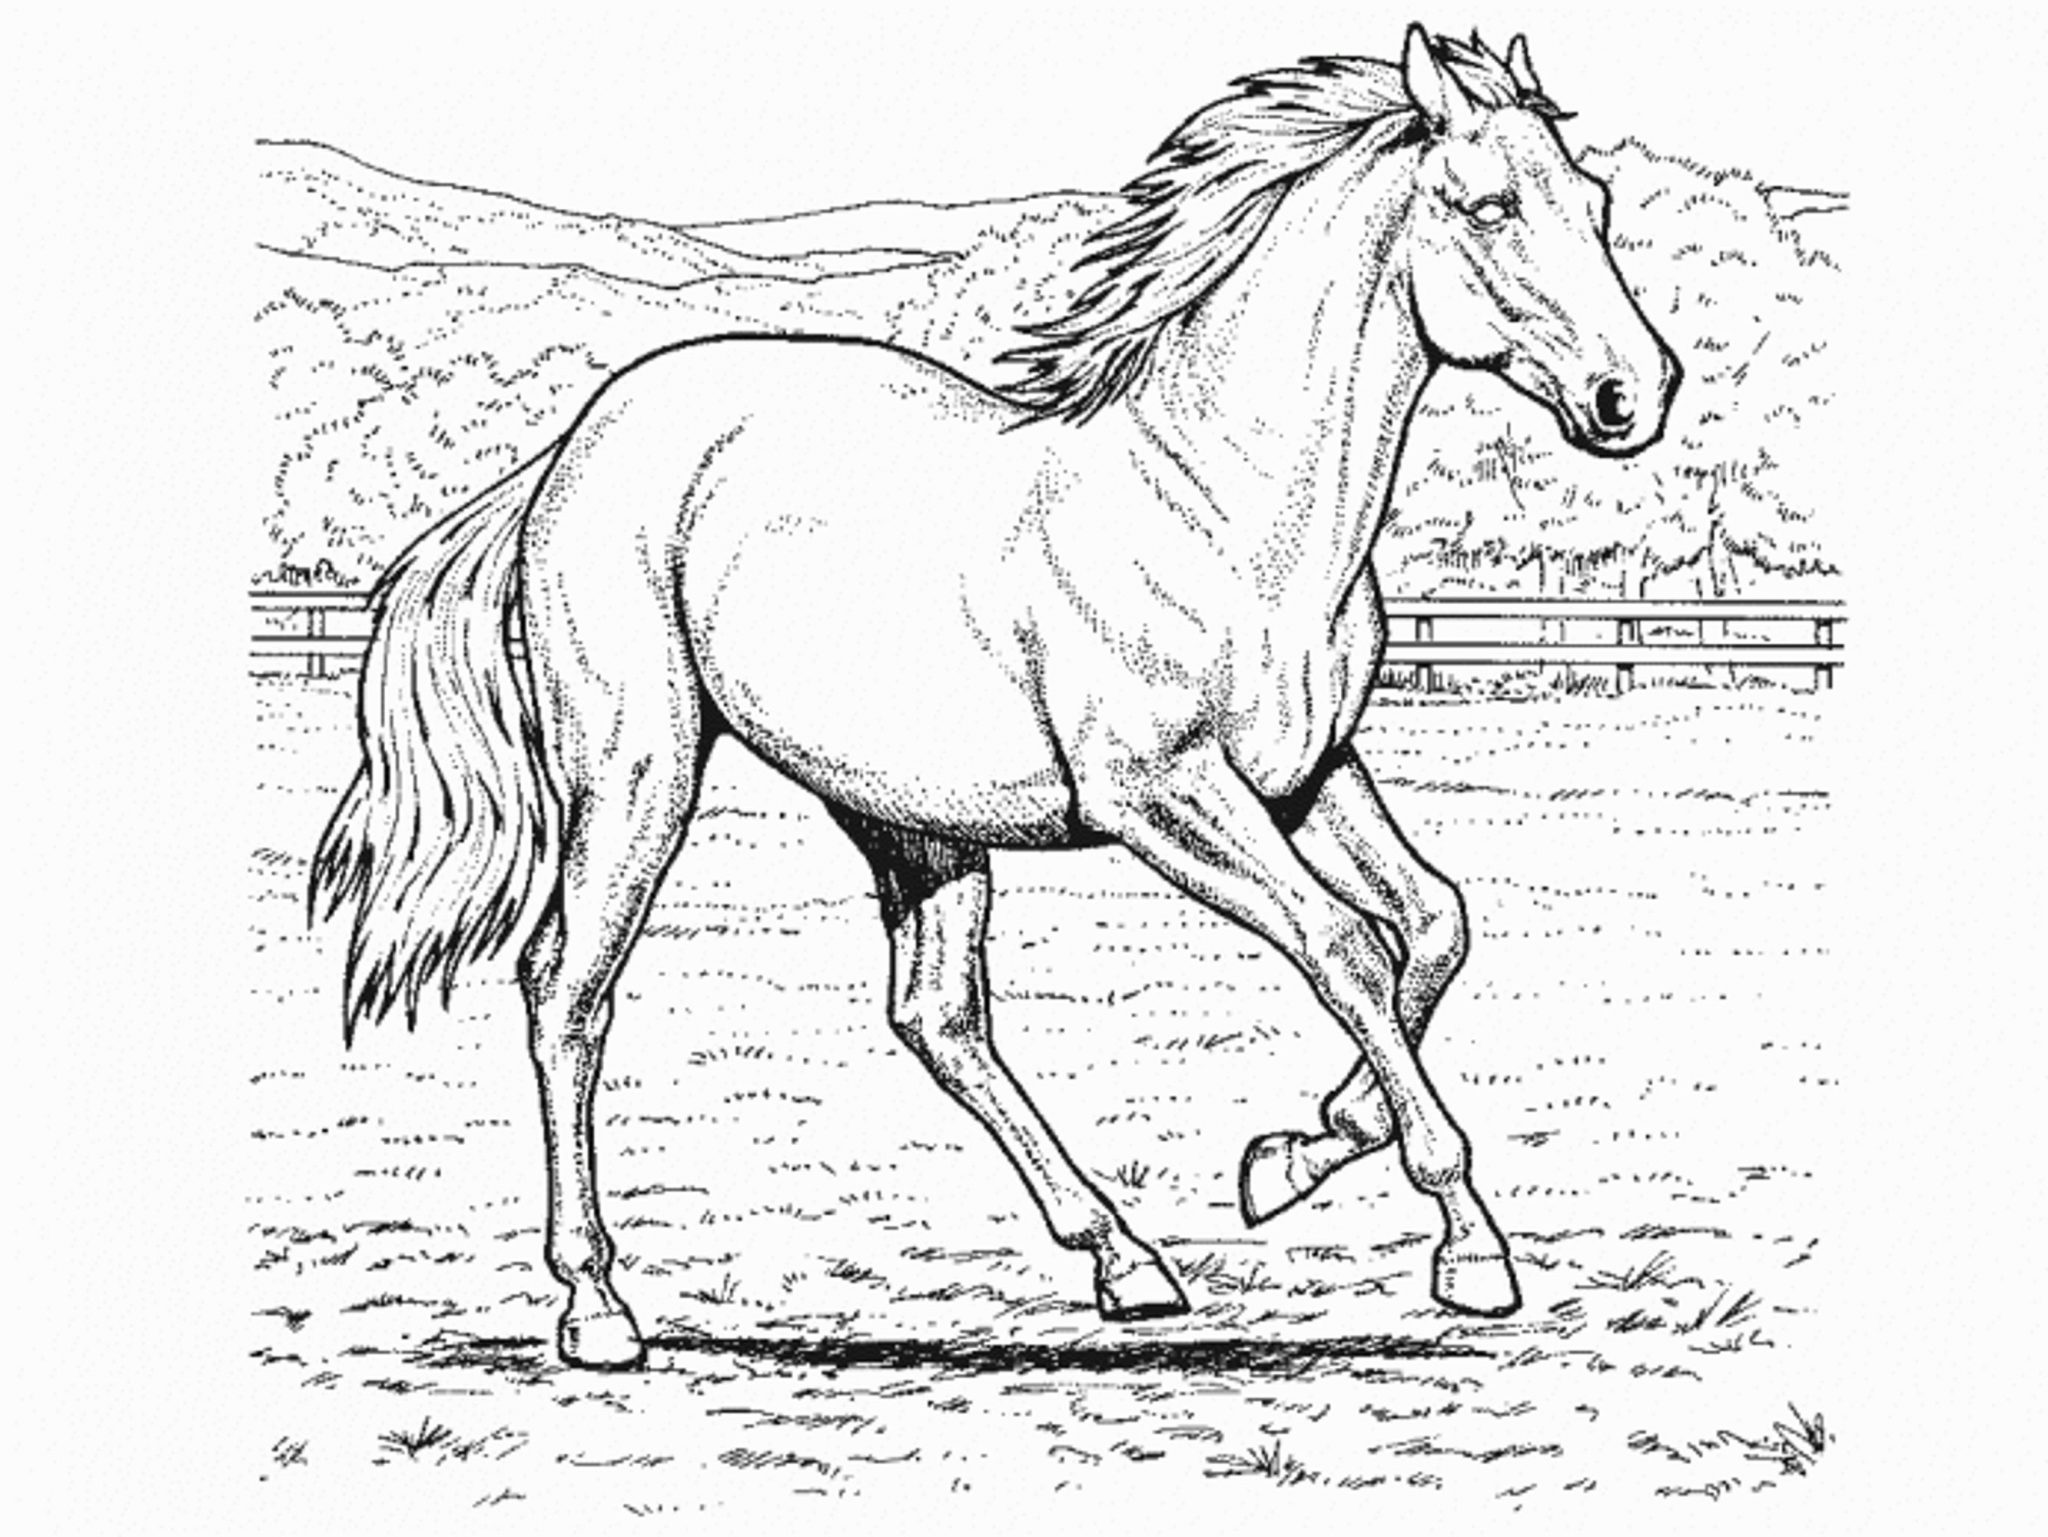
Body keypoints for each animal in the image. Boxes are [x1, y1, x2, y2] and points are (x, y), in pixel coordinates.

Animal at [311, 26, 1678, 1371]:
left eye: (1594, 201)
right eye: (1489, 204)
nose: (1635, 394)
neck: (1218, 504)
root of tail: (571, 448)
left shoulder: (1306, 775)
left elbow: (1435, 924)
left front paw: (1290, 1156)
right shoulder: (1160, 795)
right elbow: (1345, 946)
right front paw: (1466, 1248)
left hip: (910, 819)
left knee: (935, 1016)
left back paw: (1126, 1262)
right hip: (638, 774)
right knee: (568, 991)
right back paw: (597, 1308)